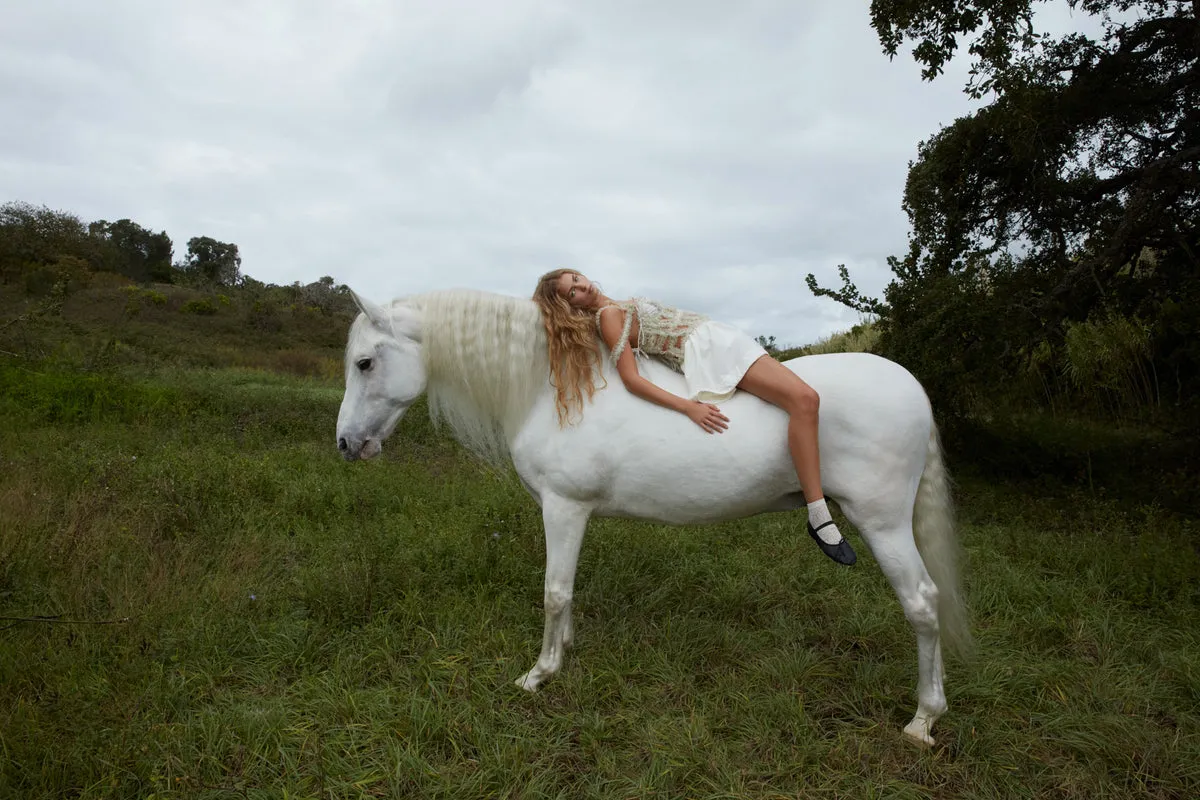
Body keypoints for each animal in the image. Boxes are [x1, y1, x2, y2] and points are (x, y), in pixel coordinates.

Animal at [333, 289, 969, 753]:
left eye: (365, 363)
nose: (345, 444)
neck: (558, 387)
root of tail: (911, 386)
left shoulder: (563, 507)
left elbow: (554, 591)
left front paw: (539, 674)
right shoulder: (573, 513)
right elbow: (568, 591)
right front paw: (564, 652)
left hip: (882, 524)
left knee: (921, 603)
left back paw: (922, 720)